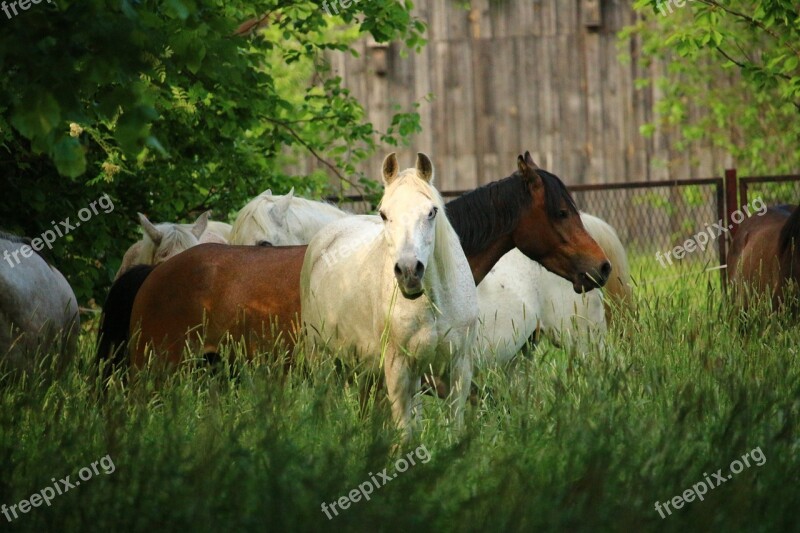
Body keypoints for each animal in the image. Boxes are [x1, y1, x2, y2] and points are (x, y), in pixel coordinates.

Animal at [298, 153, 476, 436]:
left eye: (431, 212)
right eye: (383, 214)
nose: (409, 271)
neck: (435, 304)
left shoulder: (459, 366)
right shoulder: (398, 367)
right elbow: (406, 432)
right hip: (322, 358)